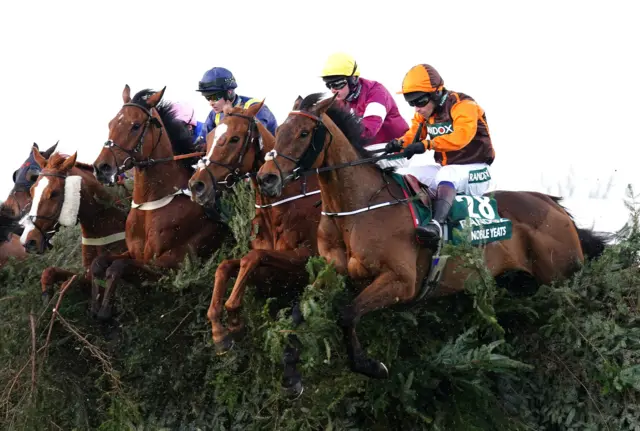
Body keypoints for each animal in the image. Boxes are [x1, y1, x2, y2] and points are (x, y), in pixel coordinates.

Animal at [19, 152, 129, 304]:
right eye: (32, 191)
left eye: (54, 193)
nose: (29, 241)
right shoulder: (87, 272)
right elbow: (50, 272)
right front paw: (47, 294)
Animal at [89, 85, 230, 320]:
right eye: (111, 123)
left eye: (136, 126)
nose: (102, 168)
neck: (150, 206)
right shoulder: (134, 253)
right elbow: (100, 262)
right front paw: (97, 304)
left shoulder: (172, 264)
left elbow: (117, 266)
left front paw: (105, 310)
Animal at [188, 102, 322, 398]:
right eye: (210, 139)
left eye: (235, 139)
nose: (196, 186)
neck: (281, 205)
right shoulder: (273, 278)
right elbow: (227, 266)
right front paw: (220, 331)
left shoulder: (305, 261)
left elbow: (252, 258)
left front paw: (233, 317)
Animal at [258, 92, 608, 382]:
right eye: (281, 130)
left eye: (304, 133)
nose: (266, 178)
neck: (358, 206)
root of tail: (554, 205)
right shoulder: (335, 273)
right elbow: (297, 312)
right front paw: (290, 371)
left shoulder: (401, 281)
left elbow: (348, 313)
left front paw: (371, 365)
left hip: (559, 278)